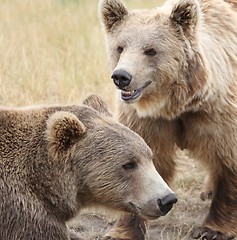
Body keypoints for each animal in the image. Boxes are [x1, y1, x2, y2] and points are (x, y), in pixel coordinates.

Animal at [98, 0, 237, 239]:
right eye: (120, 47)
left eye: (151, 50)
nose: (122, 77)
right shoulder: (147, 121)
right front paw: (123, 231)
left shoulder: (218, 114)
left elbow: (228, 162)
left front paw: (213, 229)